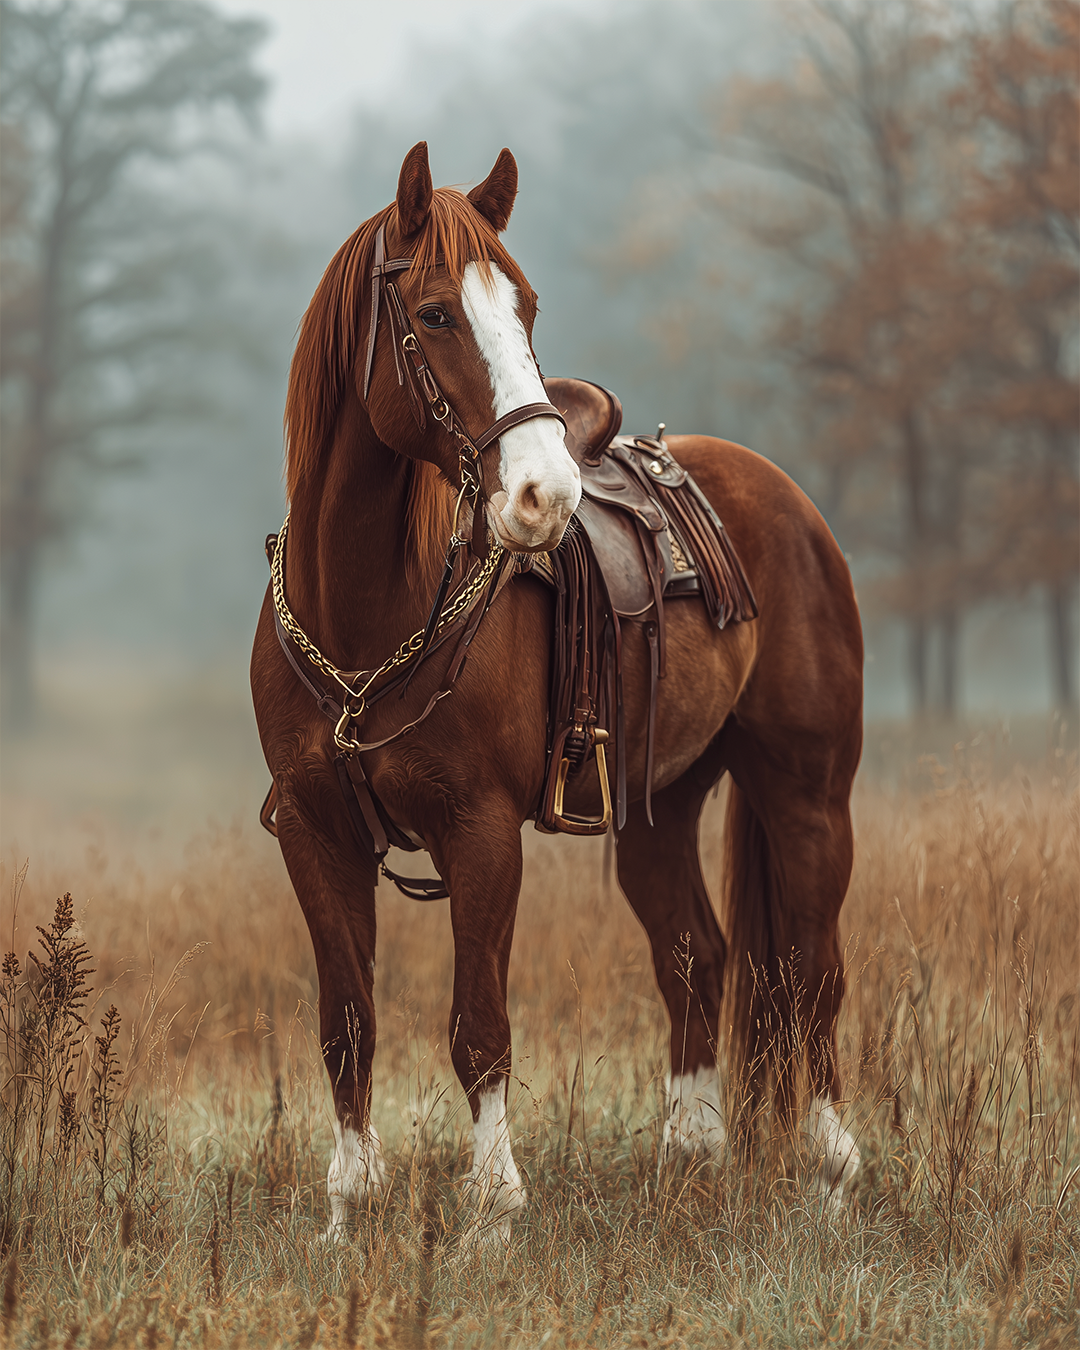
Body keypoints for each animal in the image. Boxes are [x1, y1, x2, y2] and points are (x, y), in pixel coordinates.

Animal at [250, 141, 864, 1245]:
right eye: (435, 313)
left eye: (525, 307)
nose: (547, 494)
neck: (367, 611)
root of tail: (784, 499)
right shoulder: (316, 836)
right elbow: (347, 1024)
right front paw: (348, 1212)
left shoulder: (483, 831)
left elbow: (479, 1027)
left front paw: (493, 1214)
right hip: (659, 808)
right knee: (696, 955)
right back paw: (690, 1162)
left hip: (807, 796)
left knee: (810, 973)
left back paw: (832, 1174)